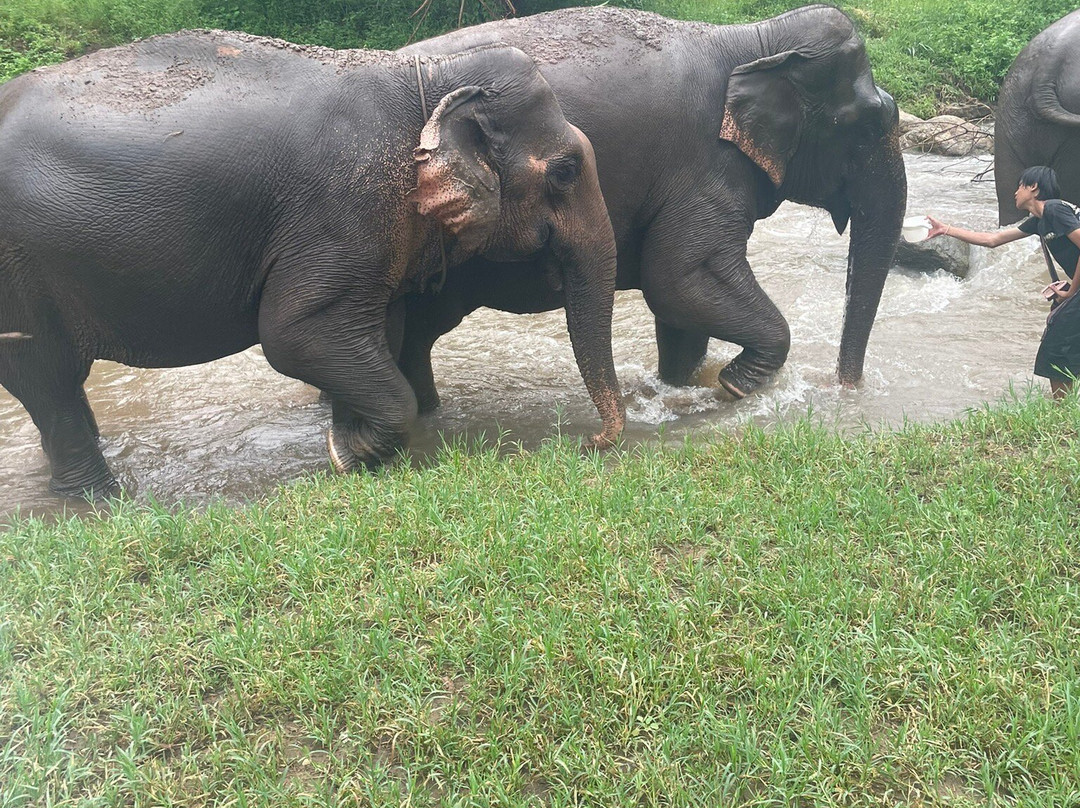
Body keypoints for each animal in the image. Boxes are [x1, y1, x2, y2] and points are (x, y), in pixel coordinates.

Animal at [0, 32, 625, 499]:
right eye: (565, 171)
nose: (587, 444)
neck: (427, 76)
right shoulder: (345, 208)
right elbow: (294, 334)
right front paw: (348, 455)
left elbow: (378, 332)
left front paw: (350, 441)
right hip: (17, 273)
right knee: (48, 376)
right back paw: (98, 500)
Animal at [396, 4, 906, 412]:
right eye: (867, 126)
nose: (844, 388)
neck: (755, 39)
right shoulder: (704, 169)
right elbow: (677, 279)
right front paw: (735, 384)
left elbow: (681, 315)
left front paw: (683, 389)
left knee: (414, 334)